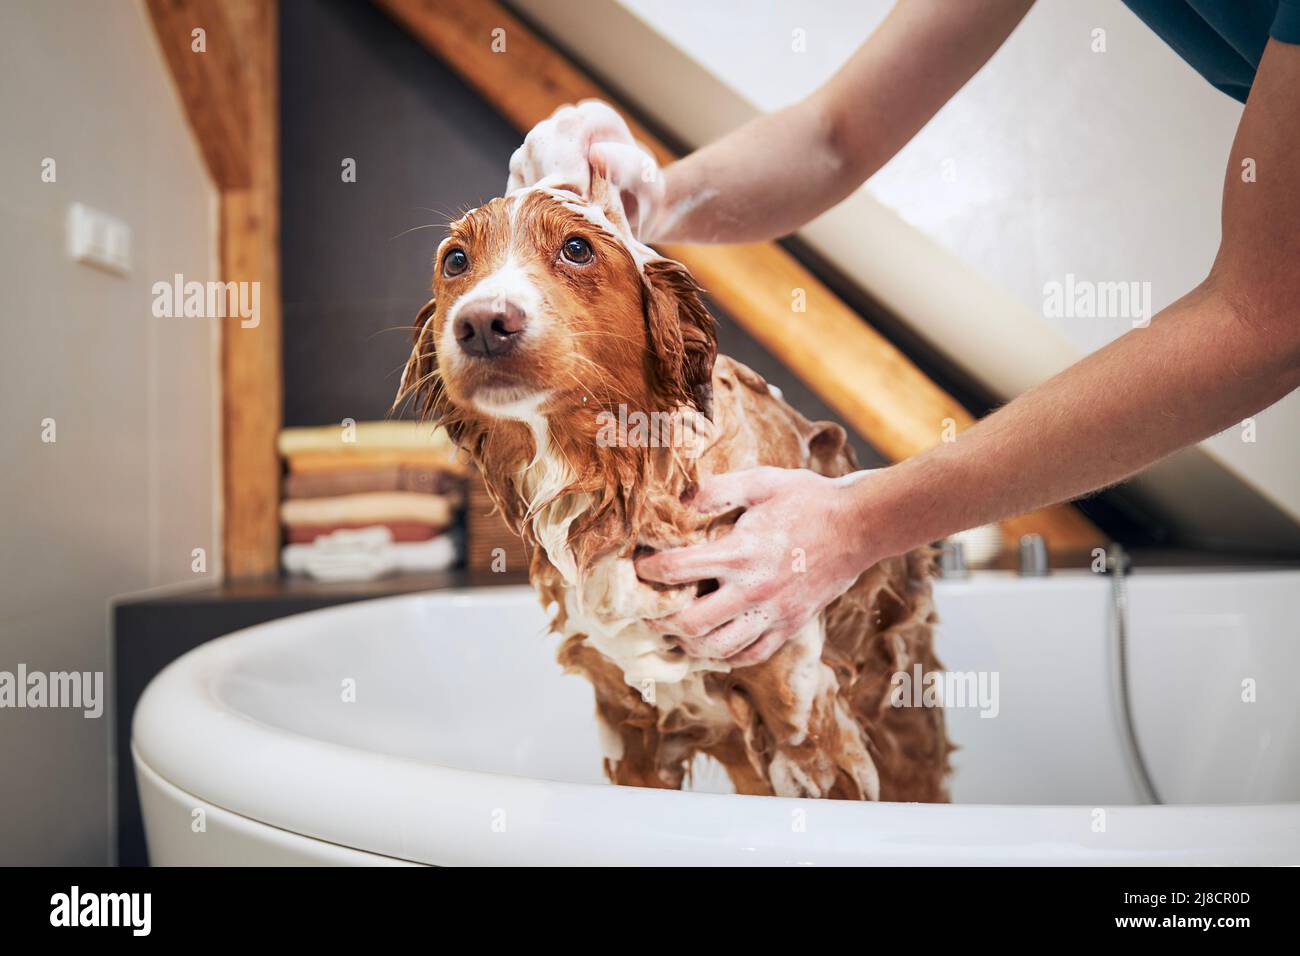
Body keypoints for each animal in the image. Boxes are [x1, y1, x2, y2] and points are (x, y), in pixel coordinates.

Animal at [390, 178, 951, 801]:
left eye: (577, 248)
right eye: (455, 261)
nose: (484, 323)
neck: (618, 485)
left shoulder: (804, 721)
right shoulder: (630, 725)